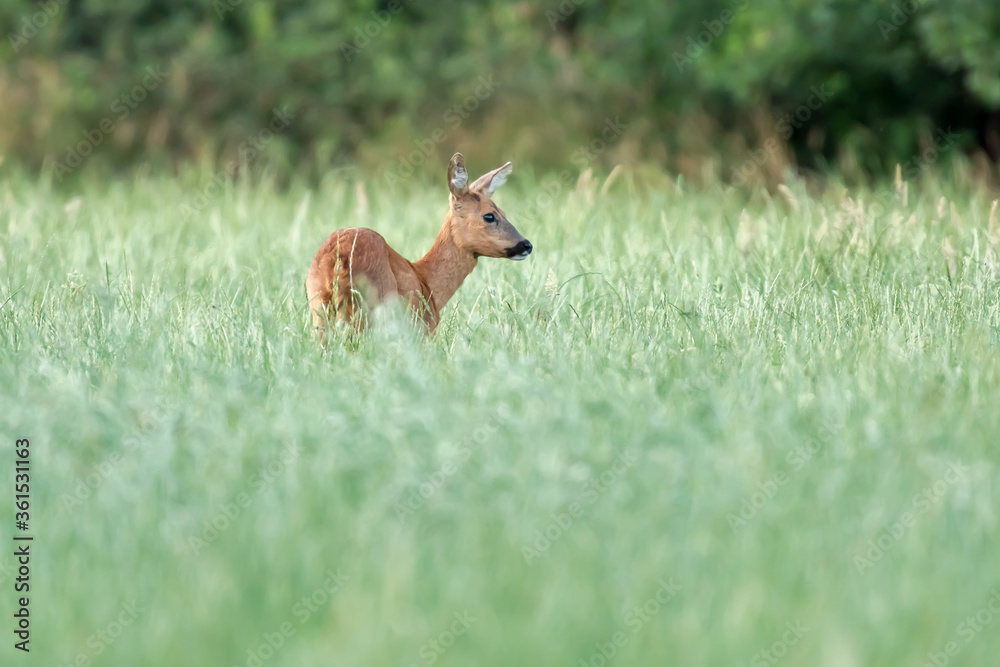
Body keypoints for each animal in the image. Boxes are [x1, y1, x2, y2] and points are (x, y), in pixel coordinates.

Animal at [304, 155, 532, 336]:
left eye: (504, 212)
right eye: (489, 215)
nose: (526, 245)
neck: (427, 281)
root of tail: (338, 259)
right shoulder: (421, 329)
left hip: (319, 309)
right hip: (374, 308)